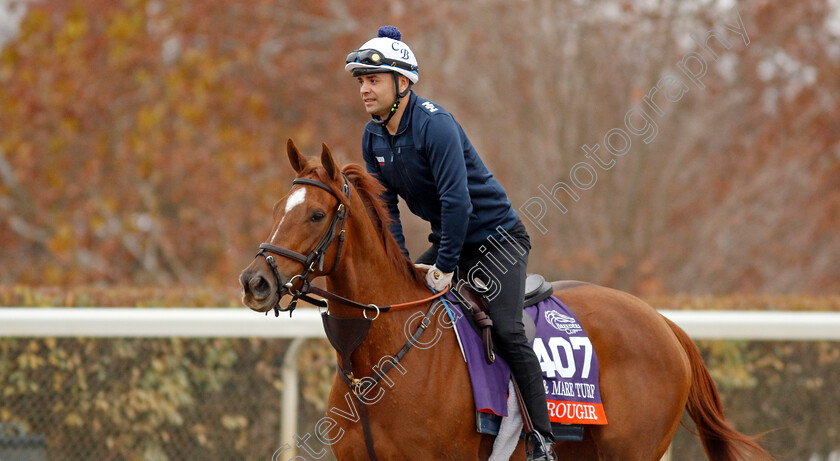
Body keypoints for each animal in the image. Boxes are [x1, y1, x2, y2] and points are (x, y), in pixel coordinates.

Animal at [238, 140, 776, 460]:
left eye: (315, 214)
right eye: (277, 208)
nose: (254, 281)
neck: (385, 351)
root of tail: (665, 324)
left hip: (633, 449)